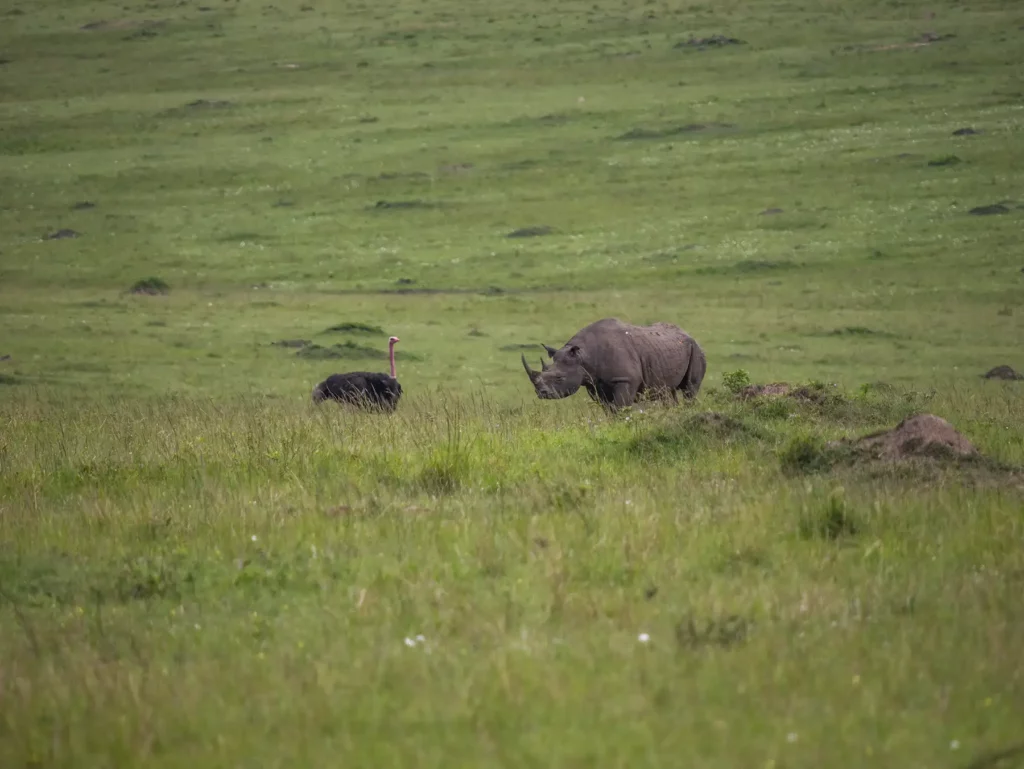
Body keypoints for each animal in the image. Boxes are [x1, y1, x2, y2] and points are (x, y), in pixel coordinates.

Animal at [521, 318, 706, 411]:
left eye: (560, 378)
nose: (541, 393)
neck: (583, 356)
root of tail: (688, 334)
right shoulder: (594, 384)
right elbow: (608, 410)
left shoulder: (625, 379)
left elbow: (620, 408)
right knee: (668, 392)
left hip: (696, 349)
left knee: (690, 389)